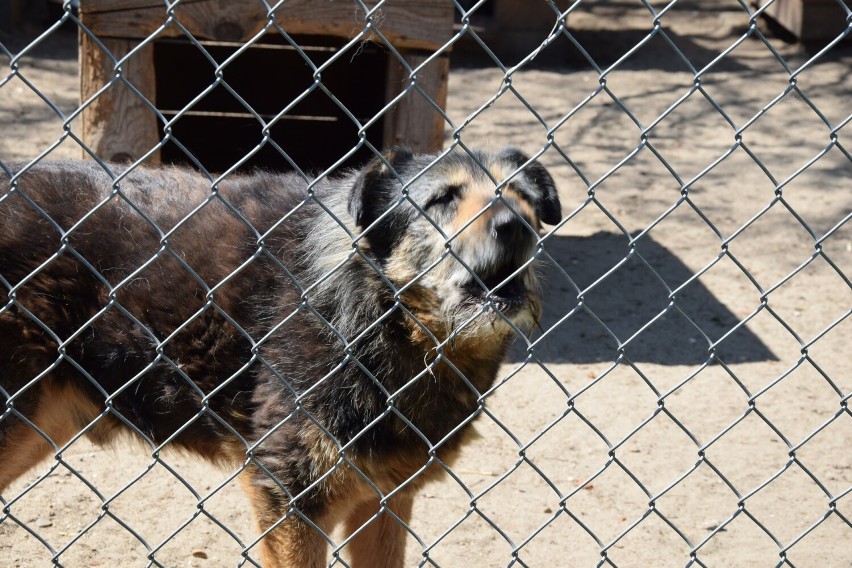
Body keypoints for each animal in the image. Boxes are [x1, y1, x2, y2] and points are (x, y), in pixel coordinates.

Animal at [0, 149, 560, 564]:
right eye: (442, 198)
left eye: (525, 198)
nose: (516, 225)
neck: (368, 313)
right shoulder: (291, 497)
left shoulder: (384, 502)